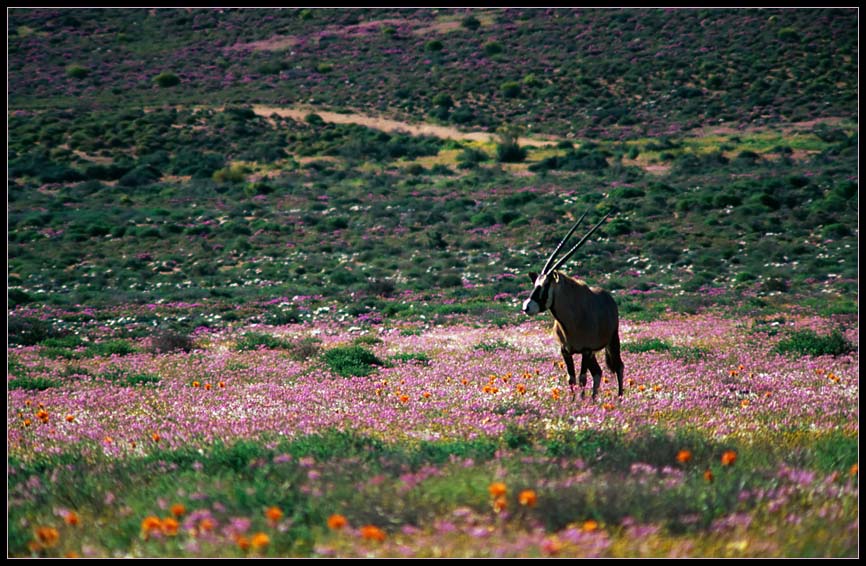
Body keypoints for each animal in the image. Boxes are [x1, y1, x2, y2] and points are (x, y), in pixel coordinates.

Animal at [520, 211, 620, 402]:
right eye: (535, 284)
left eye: (545, 286)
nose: (526, 307)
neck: (571, 320)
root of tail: (608, 298)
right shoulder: (565, 351)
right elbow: (571, 378)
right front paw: (573, 402)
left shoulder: (586, 350)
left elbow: (582, 378)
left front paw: (580, 402)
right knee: (598, 372)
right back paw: (594, 400)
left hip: (612, 341)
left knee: (618, 367)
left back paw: (619, 399)